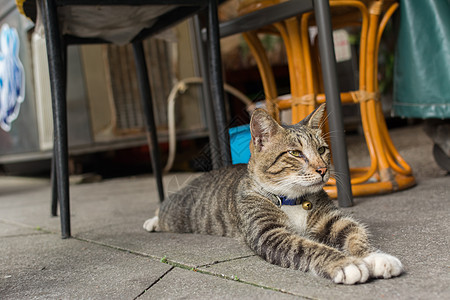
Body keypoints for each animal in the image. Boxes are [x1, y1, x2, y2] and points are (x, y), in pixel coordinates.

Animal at [145, 104, 404, 284]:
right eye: (295, 153)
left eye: (322, 149)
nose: (322, 169)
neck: (293, 200)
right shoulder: (270, 233)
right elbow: (310, 247)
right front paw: (346, 264)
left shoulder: (333, 220)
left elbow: (355, 233)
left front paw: (375, 258)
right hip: (176, 213)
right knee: (162, 210)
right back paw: (151, 221)